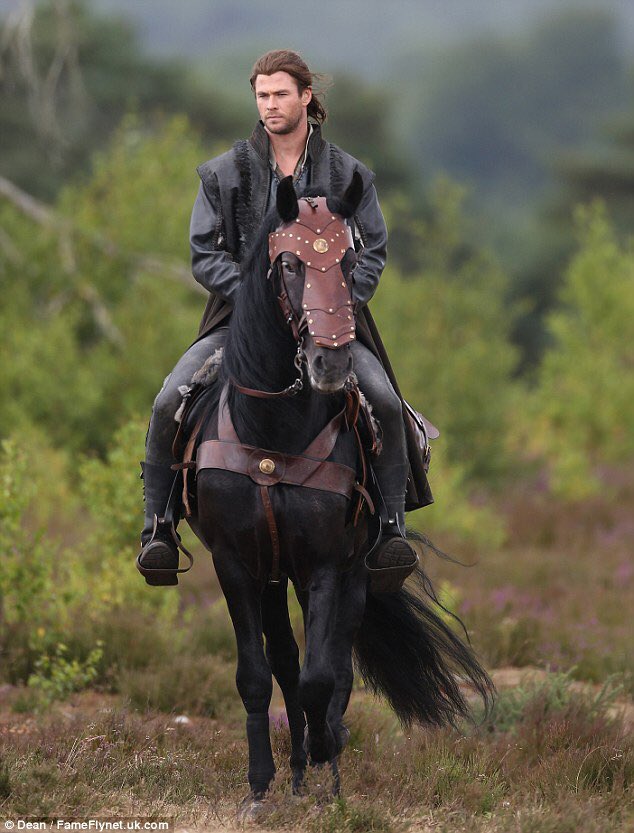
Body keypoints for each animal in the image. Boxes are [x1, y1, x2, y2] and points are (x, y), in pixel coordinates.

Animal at [180, 173, 494, 808]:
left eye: (350, 262)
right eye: (291, 264)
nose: (329, 361)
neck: (272, 432)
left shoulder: (326, 563)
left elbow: (322, 676)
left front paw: (329, 755)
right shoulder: (235, 564)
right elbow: (256, 675)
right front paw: (260, 783)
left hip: (349, 571)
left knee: (335, 666)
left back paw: (325, 765)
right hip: (275, 573)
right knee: (284, 660)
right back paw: (298, 768)